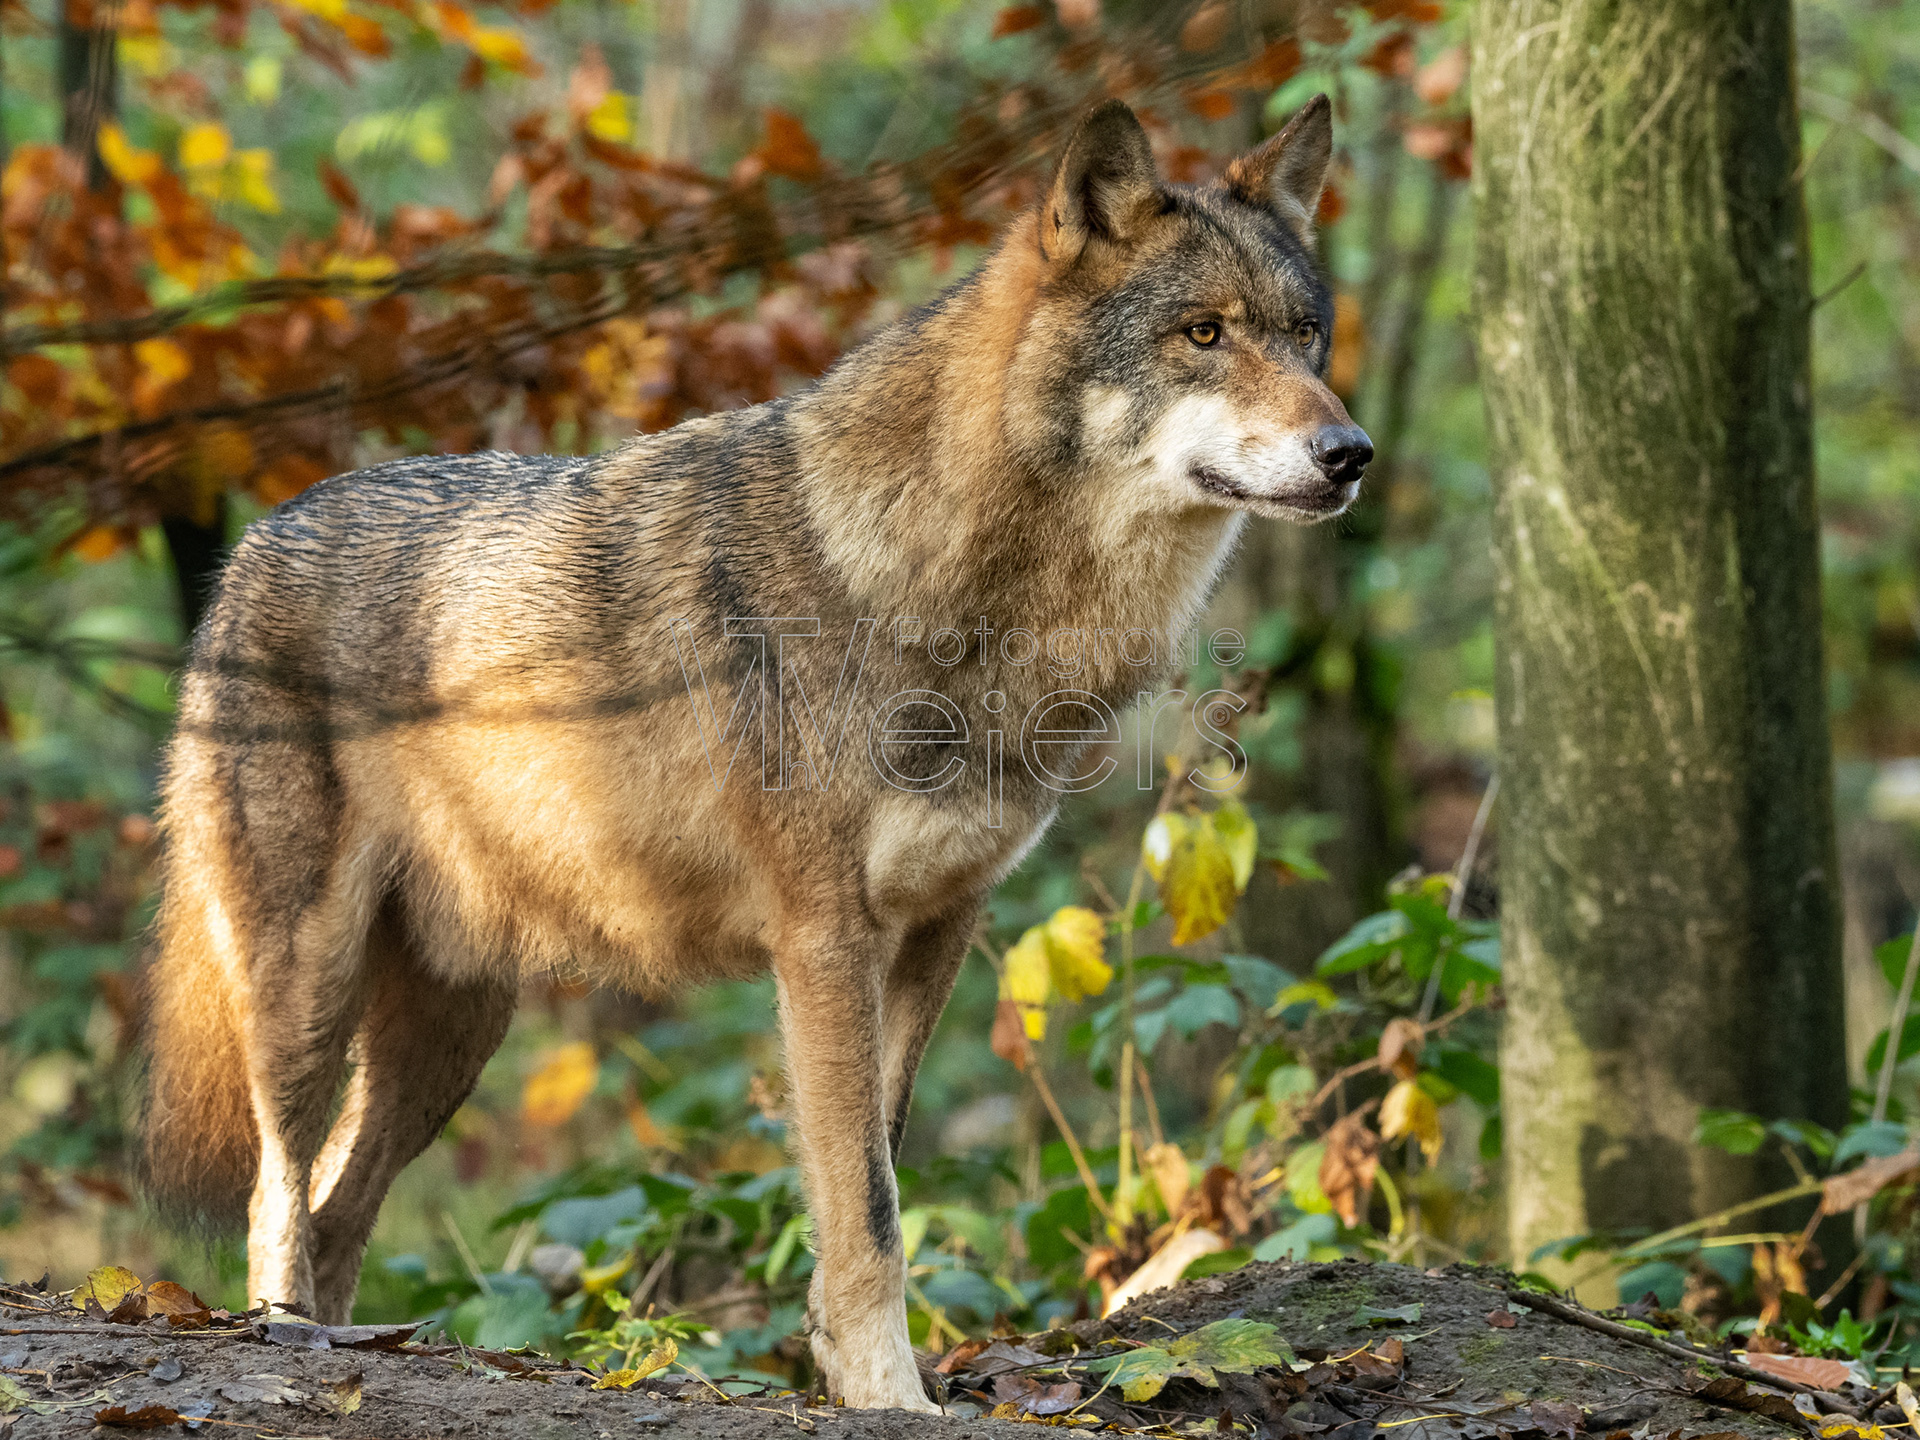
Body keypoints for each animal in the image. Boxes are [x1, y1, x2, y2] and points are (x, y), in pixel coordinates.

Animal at [140, 95, 1368, 1412]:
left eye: (1308, 338)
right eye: (1204, 333)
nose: (1352, 451)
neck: (955, 589)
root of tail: (248, 548)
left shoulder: (936, 933)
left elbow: (874, 1174)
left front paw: (848, 1372)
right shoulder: (823, 939)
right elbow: (868, 1209)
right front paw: (894, 1397)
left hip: (452, 1036)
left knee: (338, 1206)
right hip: (307, 989)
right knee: (279, 1194)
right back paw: (288, 1343)